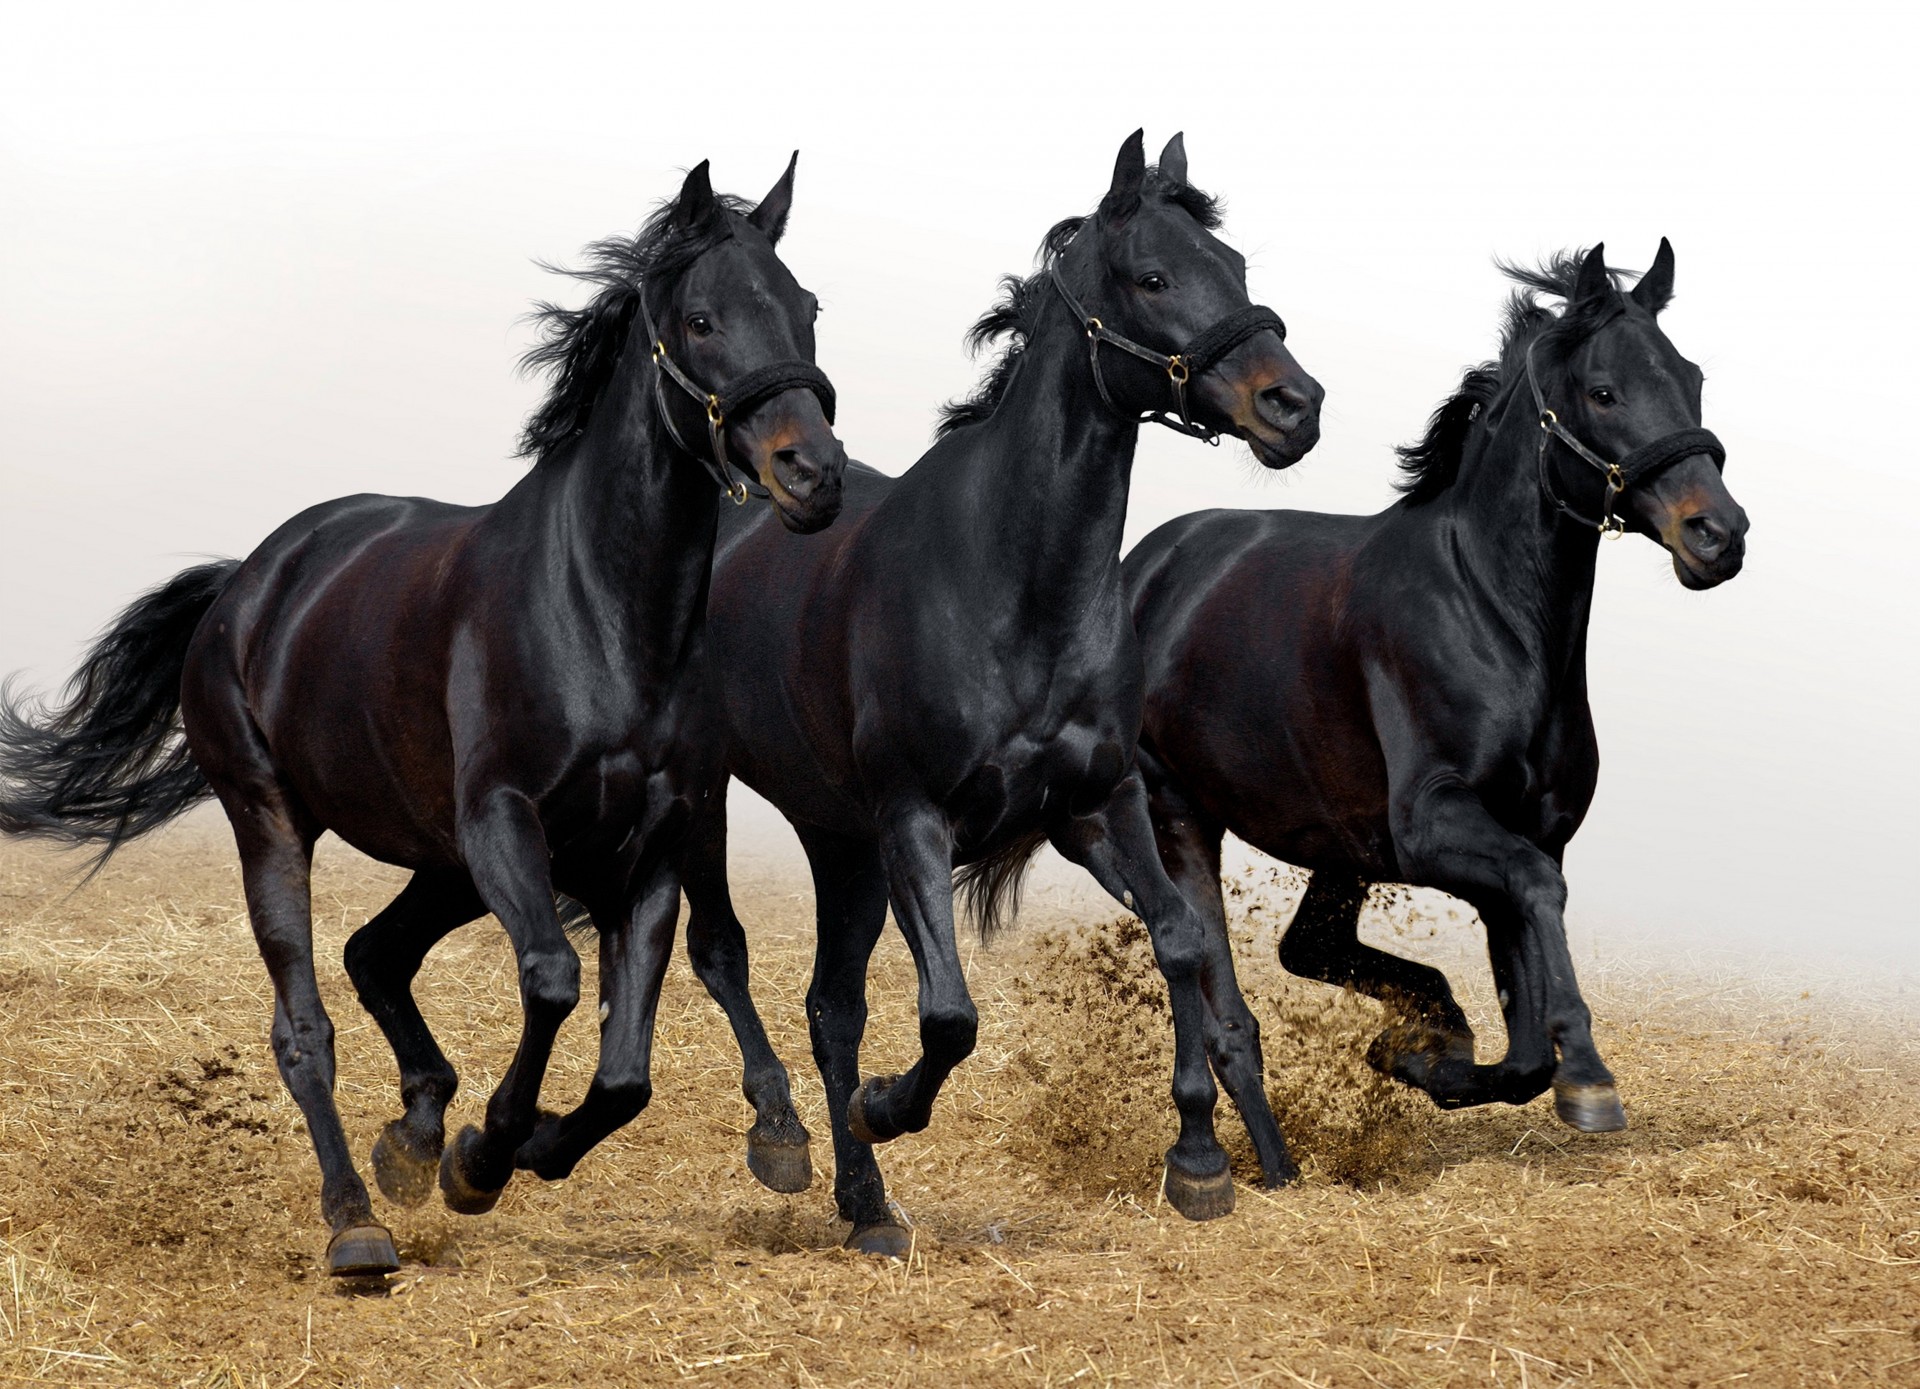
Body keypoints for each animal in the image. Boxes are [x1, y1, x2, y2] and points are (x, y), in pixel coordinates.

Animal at [0, 157, 848, 1276]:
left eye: (807, 308)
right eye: (702, 319)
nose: (815, 474)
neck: (600, 612)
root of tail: (248, 584)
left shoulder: (653, 842)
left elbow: (627, 1068)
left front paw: (516, 1146)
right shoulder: (503, 823)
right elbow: (553, 979)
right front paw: (485, 1155)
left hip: (440, 860)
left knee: (375, 953)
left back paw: (410, 1138)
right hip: (277, 823)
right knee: (305, 1026)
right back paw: (358, 1221)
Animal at [677, 131, 1324, 1255]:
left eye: (1235, 266)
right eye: (1153, 277)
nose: (1295, 405)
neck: (1011, 586)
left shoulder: (1100, 804)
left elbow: (1182, 940)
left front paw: (1199, 1160)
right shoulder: (915, 822)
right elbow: (949, 1014)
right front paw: (887, 1107)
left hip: (838, 838)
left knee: (830, 1006)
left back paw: (866, 1208)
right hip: (715, 794)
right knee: (725, 955)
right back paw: (787, 1140)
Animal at [1121, 241, 1748, 1180]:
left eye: (1693, 378)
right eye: (1604, 391)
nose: (1719, 533)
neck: (1492, 616)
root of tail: (1140, 569)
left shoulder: (1524, 834)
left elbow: (1524, 1041)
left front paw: (1424, 1058)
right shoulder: (1436, 825)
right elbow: (1539, 911)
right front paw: (1589, 1076)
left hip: (1338, 843)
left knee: (1307, 946)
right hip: (1180, 813)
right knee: (1228, 1011)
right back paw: (1267, 1168)